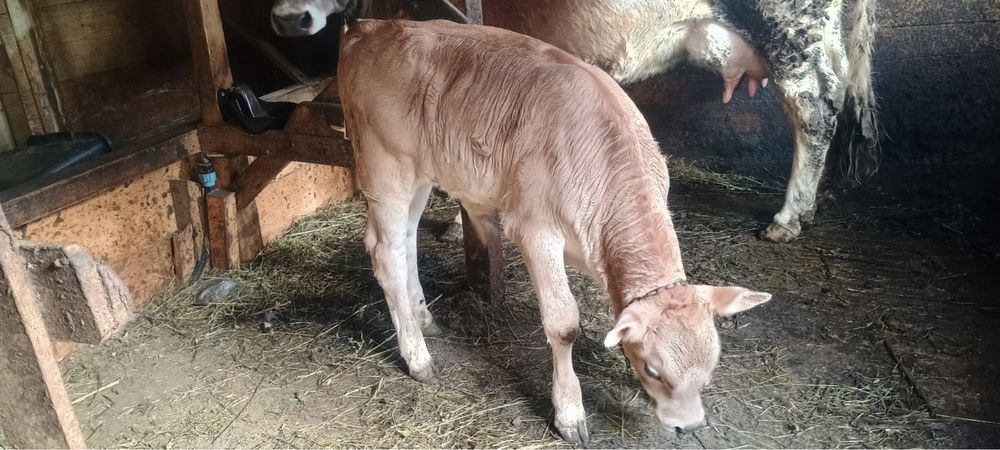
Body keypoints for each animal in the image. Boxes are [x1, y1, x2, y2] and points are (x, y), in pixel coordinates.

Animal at [338, 19, 772, 443]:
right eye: (653, 370)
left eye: (712, 366)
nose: (690, 425)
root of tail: (369, 27)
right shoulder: (534, 230)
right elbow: (563, 324)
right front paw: (570, 412)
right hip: (384, 164)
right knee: (384, 252)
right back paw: (418, 356)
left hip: (421, 172)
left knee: (405, 242)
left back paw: (422, 315)